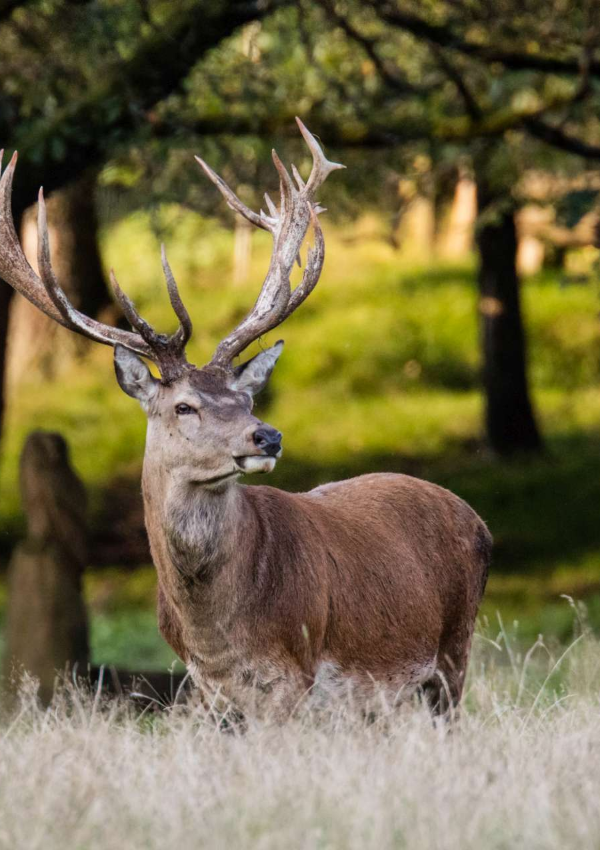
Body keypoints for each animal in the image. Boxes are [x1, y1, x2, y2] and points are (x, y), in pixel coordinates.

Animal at [0, 120, 491, 721]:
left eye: (247, 399)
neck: (217, 634)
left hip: (452, 655)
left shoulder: (296, 676)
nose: (268, 435)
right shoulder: (206, 691)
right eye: (184, 405)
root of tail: (477, 519)